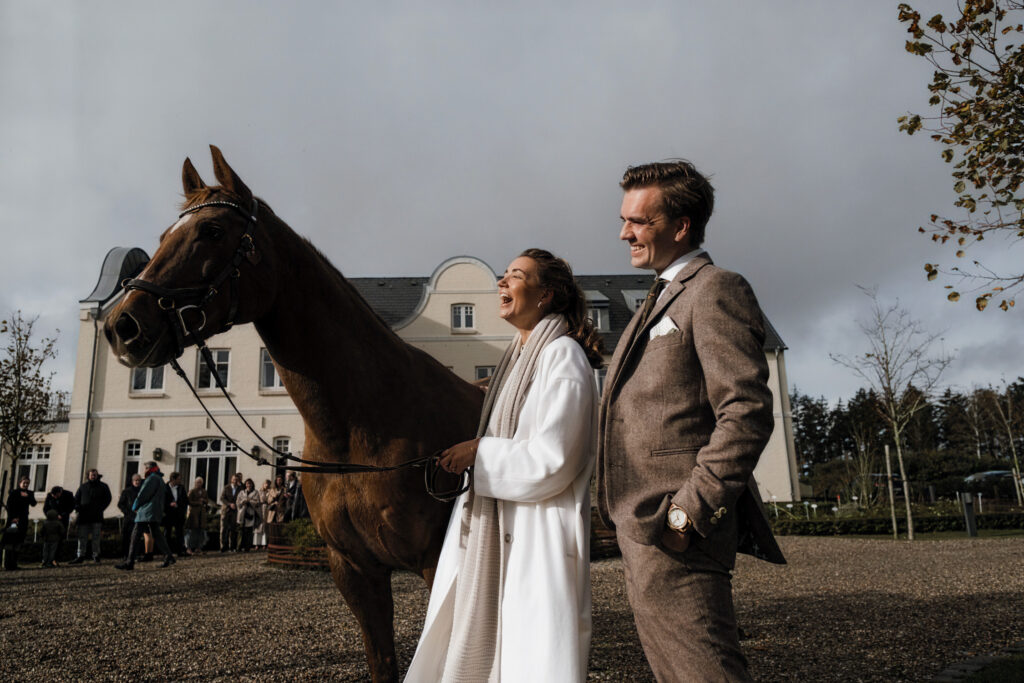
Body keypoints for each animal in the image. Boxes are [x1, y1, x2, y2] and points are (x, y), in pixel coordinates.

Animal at [103, 143, 483, 679]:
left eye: (212, 231)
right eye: (162, 238)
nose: (123, 325)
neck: (360, 432)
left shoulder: (434, 564)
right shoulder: (355, 571)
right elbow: (383, 661)